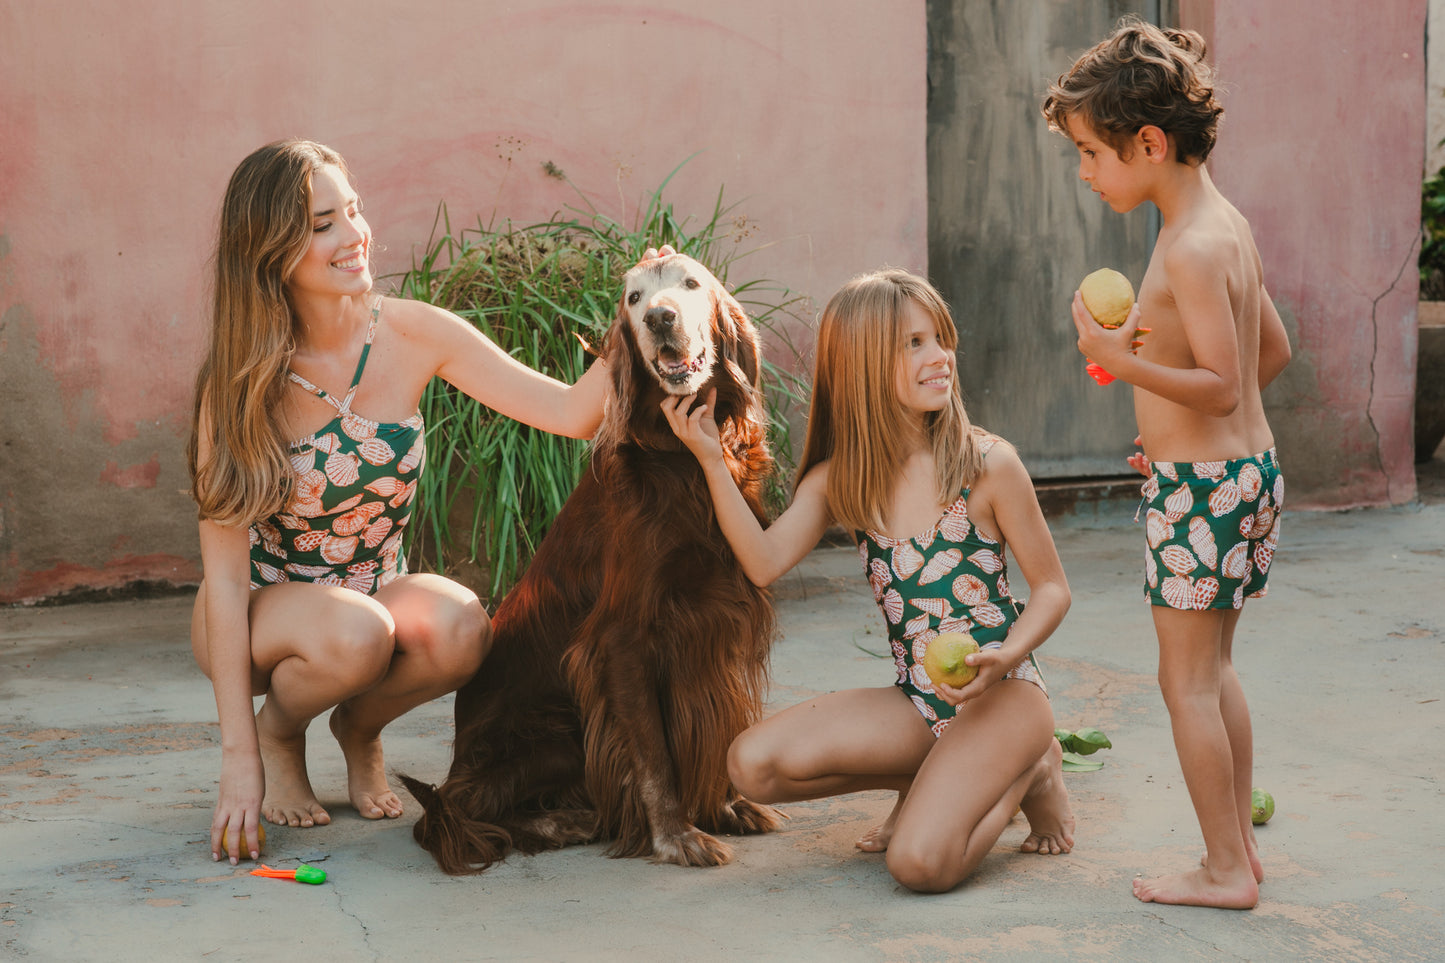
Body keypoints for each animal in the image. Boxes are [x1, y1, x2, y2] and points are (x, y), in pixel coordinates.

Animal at [401, 251, 786, 867]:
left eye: (691, 283)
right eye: (633, 299)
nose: (659, 318)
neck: (682, 459)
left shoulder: (718, 618)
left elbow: (713, 721)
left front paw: (727, 807)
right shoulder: (622, 640)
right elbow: (653, 753)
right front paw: (675, 835)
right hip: (553, 730)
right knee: (458, 811)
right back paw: (568, 821)